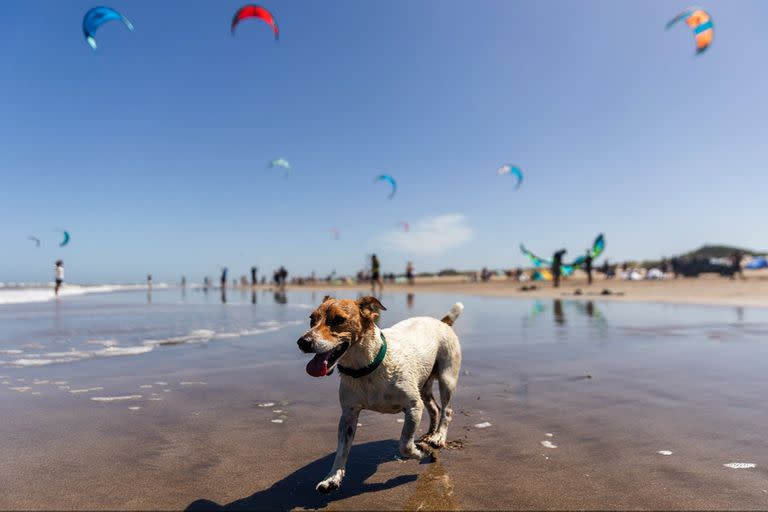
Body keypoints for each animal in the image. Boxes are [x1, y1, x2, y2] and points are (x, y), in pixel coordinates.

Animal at [296, 296, 462, 492]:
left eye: (338, 319)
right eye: (312, 319)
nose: (303, 341)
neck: (365, 369)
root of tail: (442, 322)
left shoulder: (413, 406)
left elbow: (405, 444)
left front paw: (420, 452)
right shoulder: (348, 415)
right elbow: (341, 450)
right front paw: (332, 477)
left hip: (446, 377)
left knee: (447, 411)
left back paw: (438, 437)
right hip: (423, 386)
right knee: (434, 409)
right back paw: (429, 434)